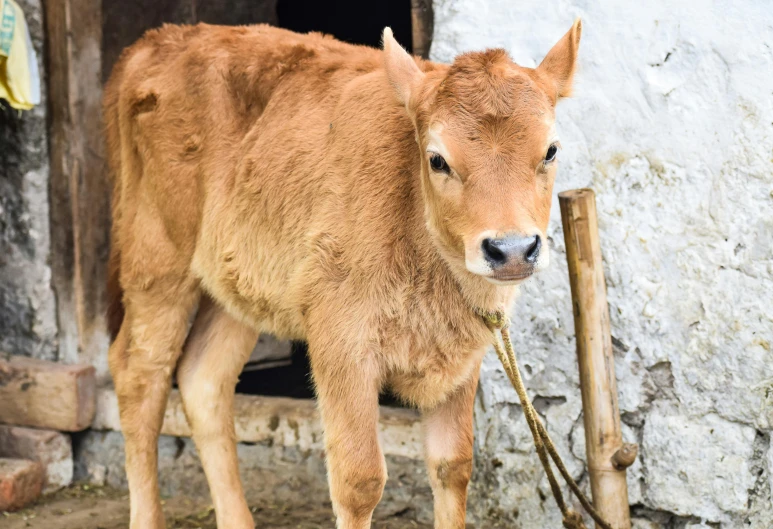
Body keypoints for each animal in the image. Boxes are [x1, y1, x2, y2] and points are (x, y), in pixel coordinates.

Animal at [104, 20, 580, 528]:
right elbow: (359, 480)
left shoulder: (461, 355)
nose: (511, 250)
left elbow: (453, 466)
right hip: (157, 263)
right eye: (437, 159)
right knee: (139, 377)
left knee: (203, 380)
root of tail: (159, 41)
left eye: (551, 151)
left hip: (235, 285)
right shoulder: (341, 343)